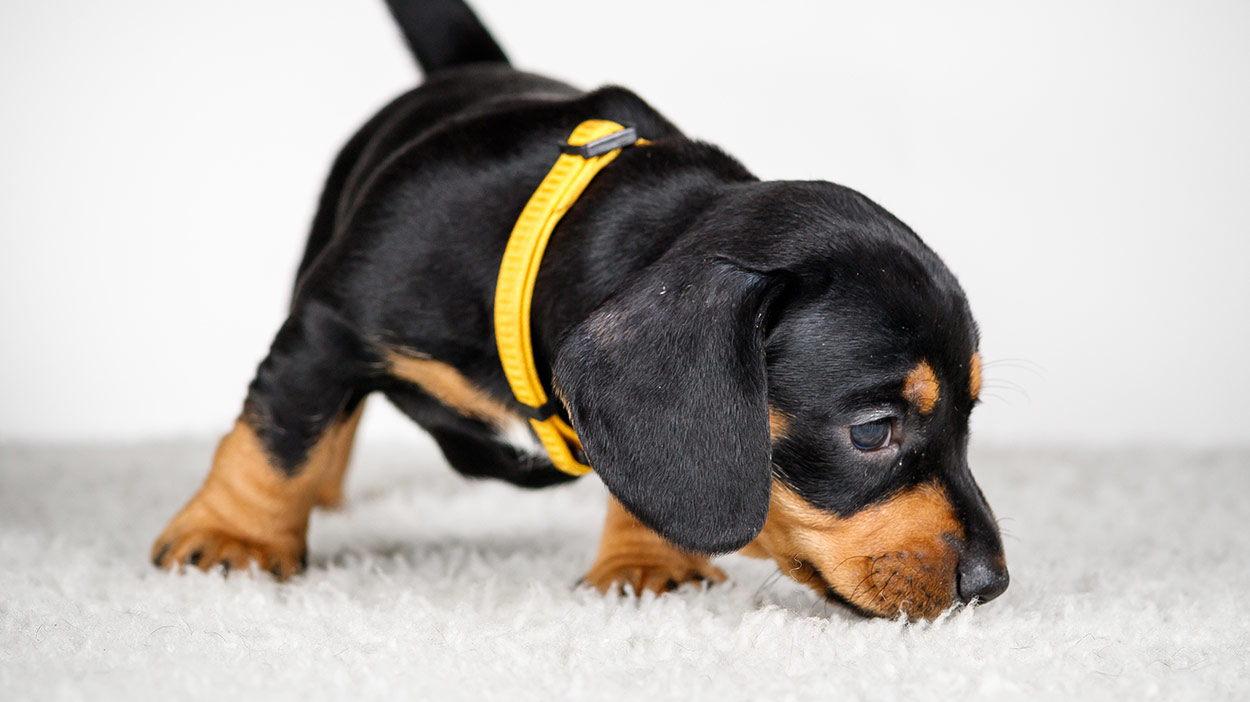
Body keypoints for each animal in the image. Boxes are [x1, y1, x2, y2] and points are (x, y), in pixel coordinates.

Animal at [151, 0, 1005, 617]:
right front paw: (231, 538)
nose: (991, 585)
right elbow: (277, 435)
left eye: (969, 416)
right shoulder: (329, 323)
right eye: (872, 431)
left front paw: (647, 563)